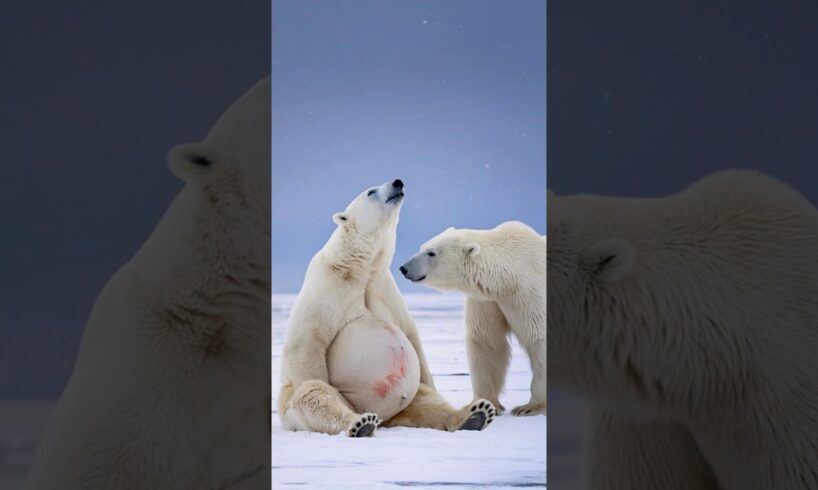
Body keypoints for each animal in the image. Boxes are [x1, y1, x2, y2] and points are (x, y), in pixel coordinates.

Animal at [278, 179, 494, 436]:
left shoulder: (383, 287)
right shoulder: (326, 286)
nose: (398, 182)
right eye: (371, 192)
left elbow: (410, 335)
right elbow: (307, 341)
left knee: (427, 399)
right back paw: (360, 423)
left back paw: (475, 414)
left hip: (409, 395)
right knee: (315, 398)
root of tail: (387, 418)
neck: (360, 268)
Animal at [398, 222, 544, 418]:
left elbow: (539, 339)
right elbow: (486, 342)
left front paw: (529, 407)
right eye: (422, 247)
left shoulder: (531, 294)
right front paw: (484, 404)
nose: (404, 268)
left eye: (431, 253)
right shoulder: (488, 300)